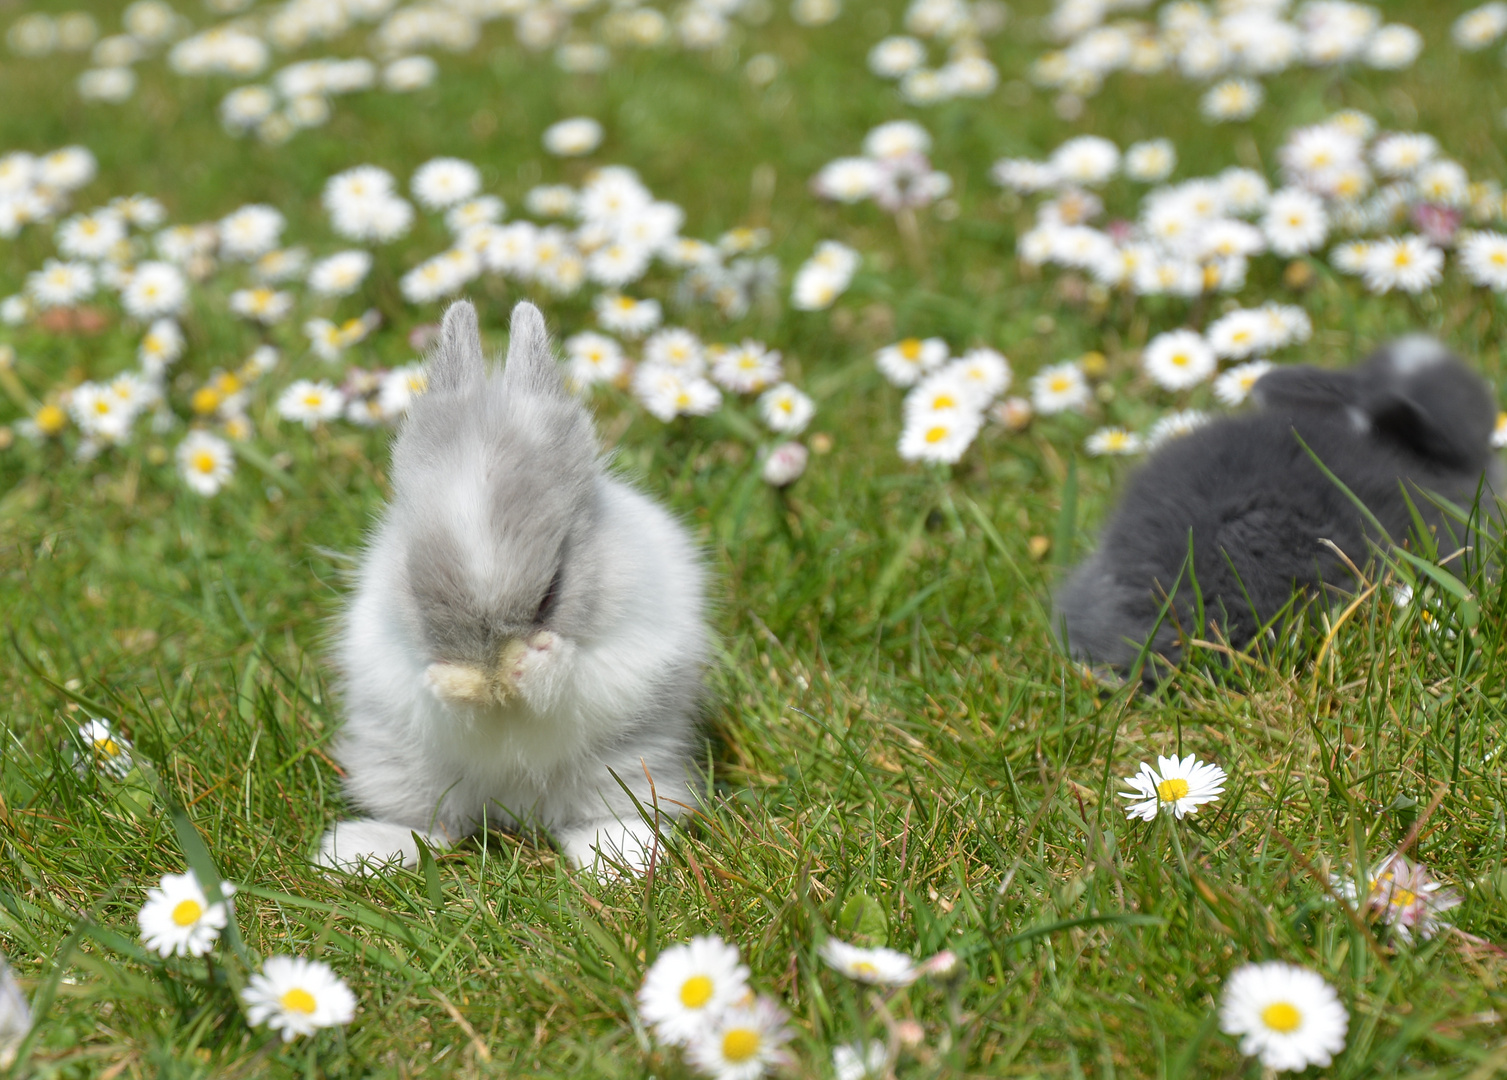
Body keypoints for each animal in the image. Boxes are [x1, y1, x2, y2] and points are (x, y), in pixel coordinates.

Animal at [316, 296, 711, 873]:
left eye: (553, 590)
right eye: (413, 578)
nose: (489, 669)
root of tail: (513, 812)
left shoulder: (634, 654)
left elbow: (577, 676)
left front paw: (536, 664)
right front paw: (447, 682)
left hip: (631, 765)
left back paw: (624, 861)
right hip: (399, 767)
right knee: (435, 828)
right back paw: (354, 852)